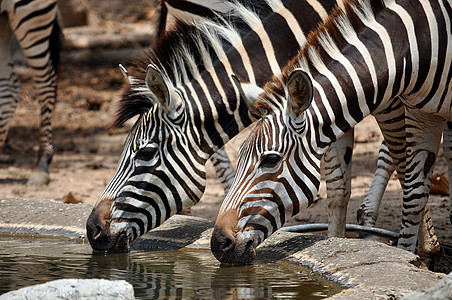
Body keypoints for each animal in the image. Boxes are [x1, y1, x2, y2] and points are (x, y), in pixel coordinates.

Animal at [210, 0, 450, 264]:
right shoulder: (423, 115)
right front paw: (410, 257)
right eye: (240, 154)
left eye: (271, 159)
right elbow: (413, 193)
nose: (217, 244)